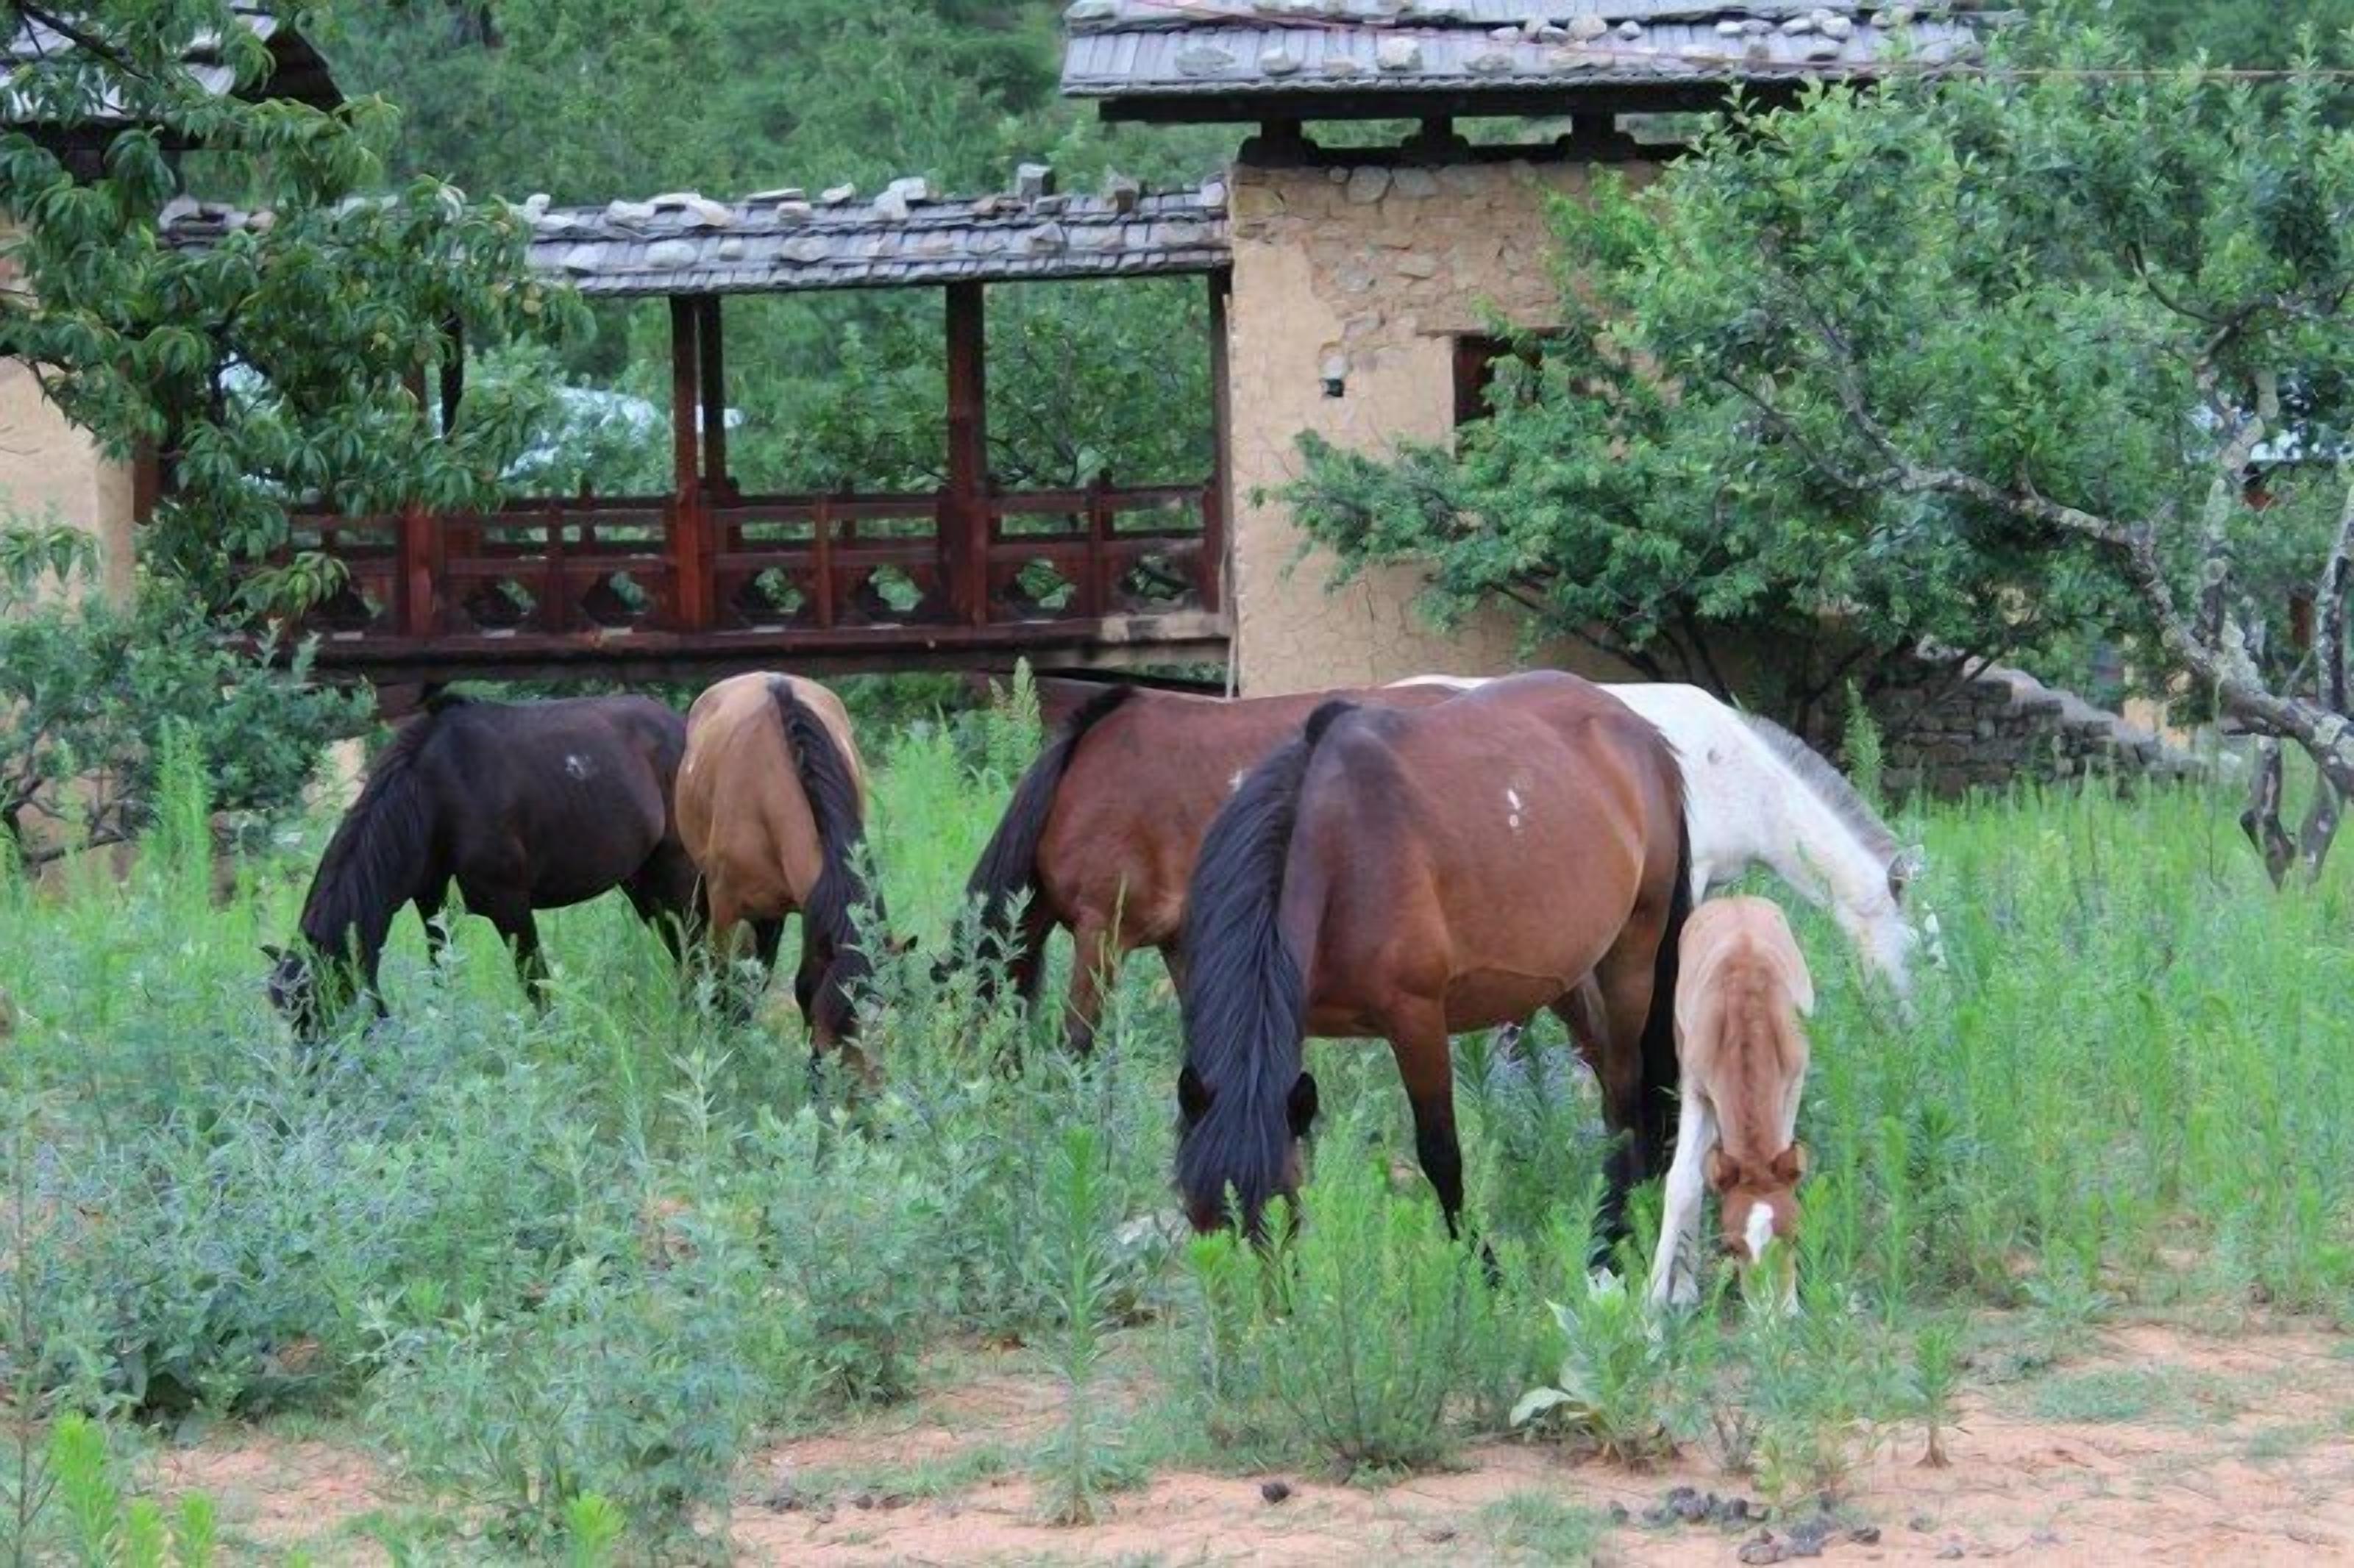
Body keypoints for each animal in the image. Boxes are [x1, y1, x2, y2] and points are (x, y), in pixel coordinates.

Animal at [266, 694, 699, 1036]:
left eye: (319, 999)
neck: (432, 795)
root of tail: (684, 726)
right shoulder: (431, 902)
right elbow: (442, 969)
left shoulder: (510, 905)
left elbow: (534, 980)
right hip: (642, 880)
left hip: (677, 870)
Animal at [675, 672, 887, 1071]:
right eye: (837, 1032)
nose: (865, 1087)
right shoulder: (726, 909)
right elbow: (724, 976)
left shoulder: (812, 907)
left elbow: (802, 983)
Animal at [1174, 671, 1694, 1246]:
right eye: (1196, 1215)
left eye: (1280, 1210)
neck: (1339, 848)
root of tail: (1643, 734)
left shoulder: (1416, 1019)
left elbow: (1441, 1153)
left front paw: (1476, 1258)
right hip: (1567, 975)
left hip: (1633, 953)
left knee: (1626, 1081)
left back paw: (1614, 1225)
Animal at [1646, 896, 1815, 1314]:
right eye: (1732, 1247)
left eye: (1794, 1237)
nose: (1772, 1317)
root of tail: (1736, 897)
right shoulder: (1695, 1088)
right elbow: (1684, 1182)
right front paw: (1655, 1303)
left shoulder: (1794, 1080)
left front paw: (1792, 1304)